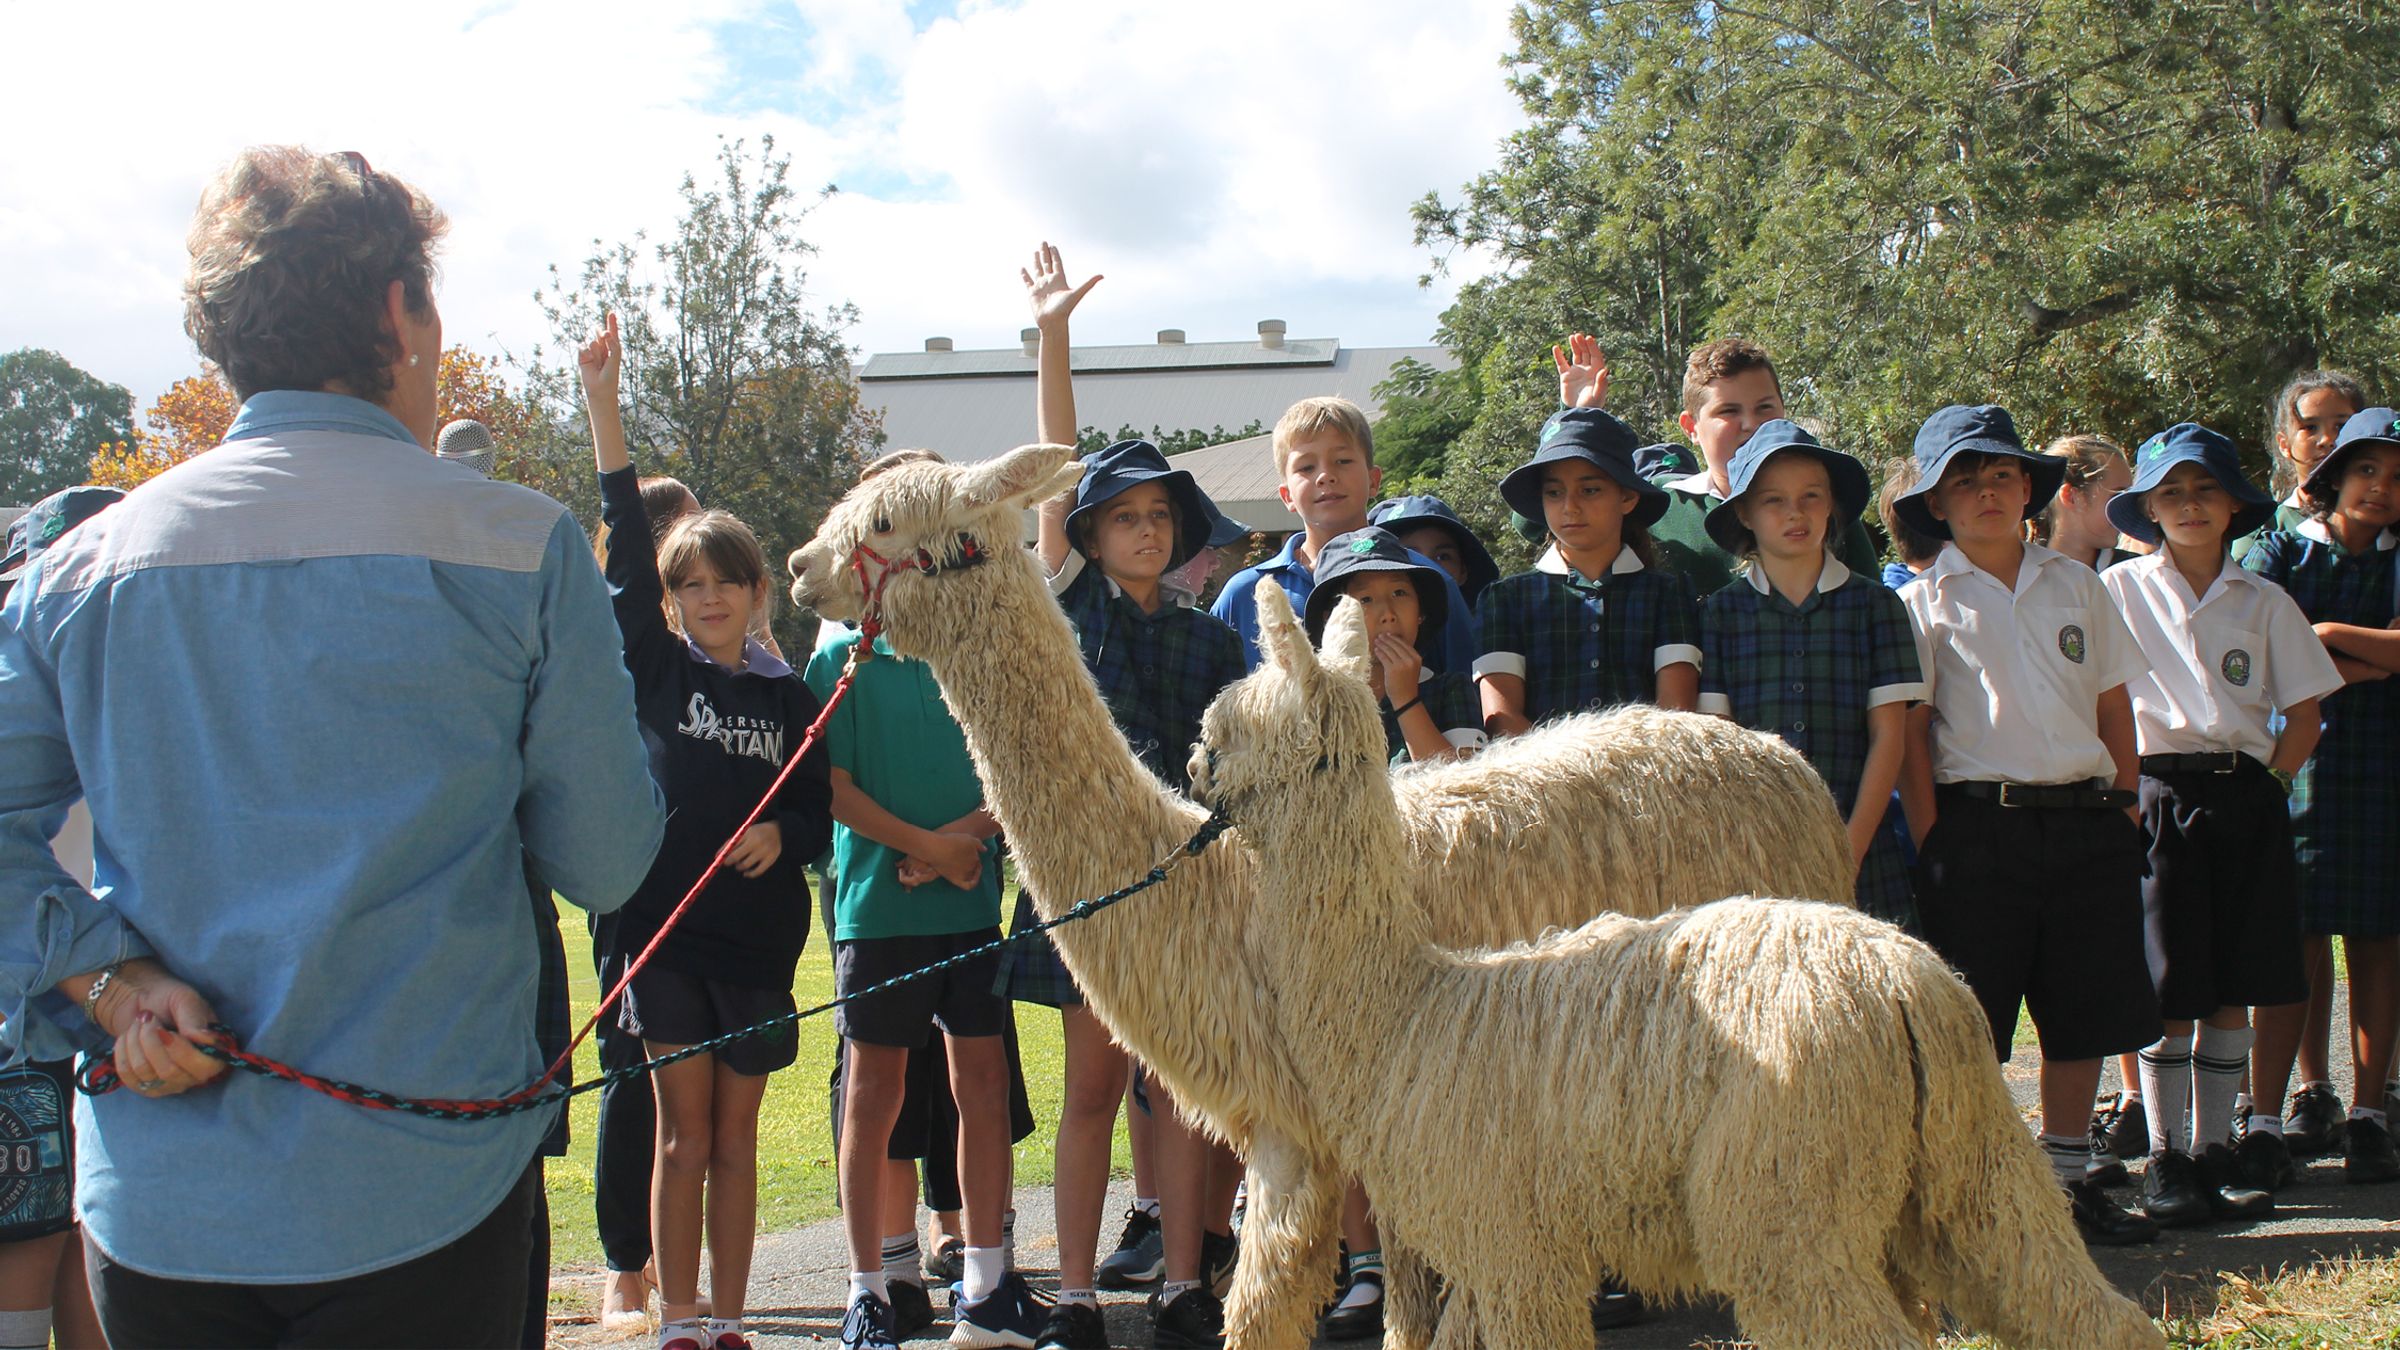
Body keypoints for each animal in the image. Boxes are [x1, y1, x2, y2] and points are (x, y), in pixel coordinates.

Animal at [788, 442, 1861, 1347]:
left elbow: (1267, 1309)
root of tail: (1781, 761)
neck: (1215, 884)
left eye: (884, 521)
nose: (799, 564)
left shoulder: (1306, 1124)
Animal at [1180, 584, 2164, 1350]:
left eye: (1225, 729)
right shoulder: (1490, 1255)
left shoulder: (1513, 1245)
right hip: (1960, 1171)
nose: (1191, 767)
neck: (1406, 1011)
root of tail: (1909, 991)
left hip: (1786, 1188)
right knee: (2077, 1305)